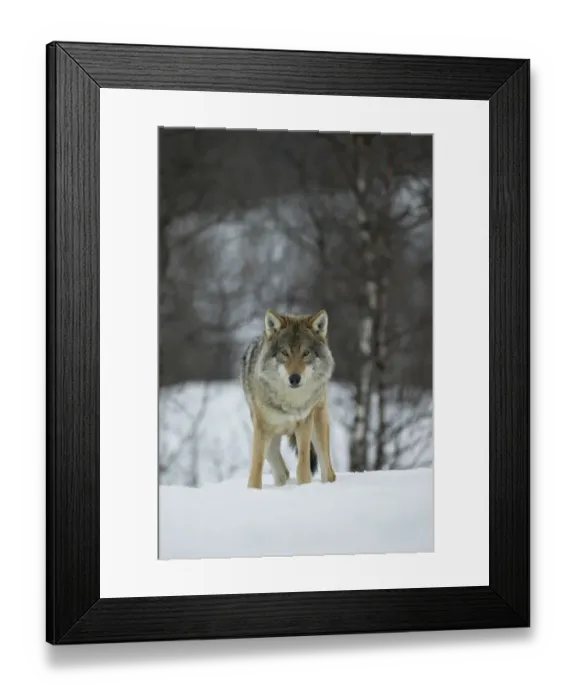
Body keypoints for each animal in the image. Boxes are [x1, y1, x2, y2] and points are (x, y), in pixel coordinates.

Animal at [240, 309, 337, 490]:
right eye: (284, 353)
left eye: (306, 353)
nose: (294, 378)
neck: (290, 403)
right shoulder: (261, 428)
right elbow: (256, 468)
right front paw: (253, 491)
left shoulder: (304, 423)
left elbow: (303, 466)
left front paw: (305, 486)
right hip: (269, 438)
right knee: (282, 472)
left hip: (318, 425)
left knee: (329, 472)